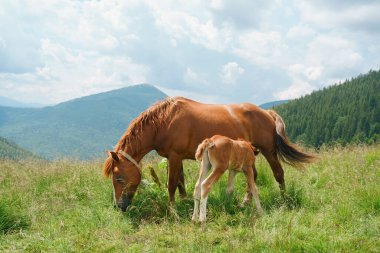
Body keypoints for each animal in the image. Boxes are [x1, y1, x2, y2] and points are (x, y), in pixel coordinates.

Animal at [102, 97, 314, 211]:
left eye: (119, 178)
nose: (118, 206)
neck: (163, 121)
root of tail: (267, 112)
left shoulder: (175, 156)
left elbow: (172, 184)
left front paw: (172, 209)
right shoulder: (174, 157)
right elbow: (181, 182)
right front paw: (185, 203)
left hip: (269, 152)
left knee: (278, 174)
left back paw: (284, 200)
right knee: (253, 176)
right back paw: (245, 203)